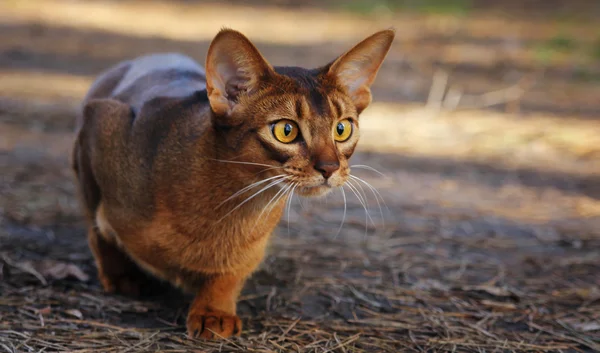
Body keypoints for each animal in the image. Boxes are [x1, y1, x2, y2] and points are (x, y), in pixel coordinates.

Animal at [71, 27, 394, 338]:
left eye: (342, 129)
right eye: (286, 130)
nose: (329, 167)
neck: (232, 204)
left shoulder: (251, 249)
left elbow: (231, 273)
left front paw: (214, 311)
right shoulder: (102, 119)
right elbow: (97, 229)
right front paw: (119, 276)